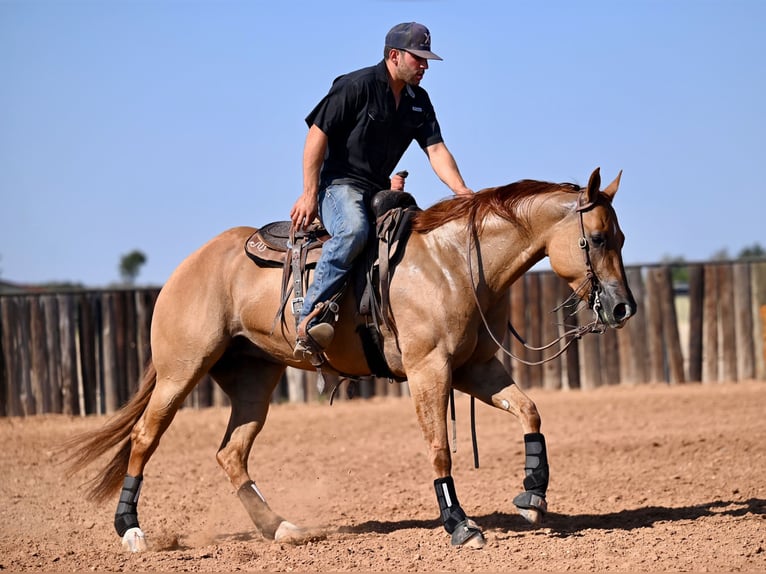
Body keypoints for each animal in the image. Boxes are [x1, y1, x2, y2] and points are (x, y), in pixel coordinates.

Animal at [66, 166, 640, 552]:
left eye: (621, 236)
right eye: (595, 238)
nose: (622, 307)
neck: (455, 263)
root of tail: (187, 266)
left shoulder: (475, 370)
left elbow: (530, 412)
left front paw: (533, 496)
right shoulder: (429, 370)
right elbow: (440, 451)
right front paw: (460, 525)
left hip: (254, 380)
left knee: (231, 454)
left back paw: (280, 528)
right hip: (181, 371)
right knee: (145, 438)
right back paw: (131, 530)